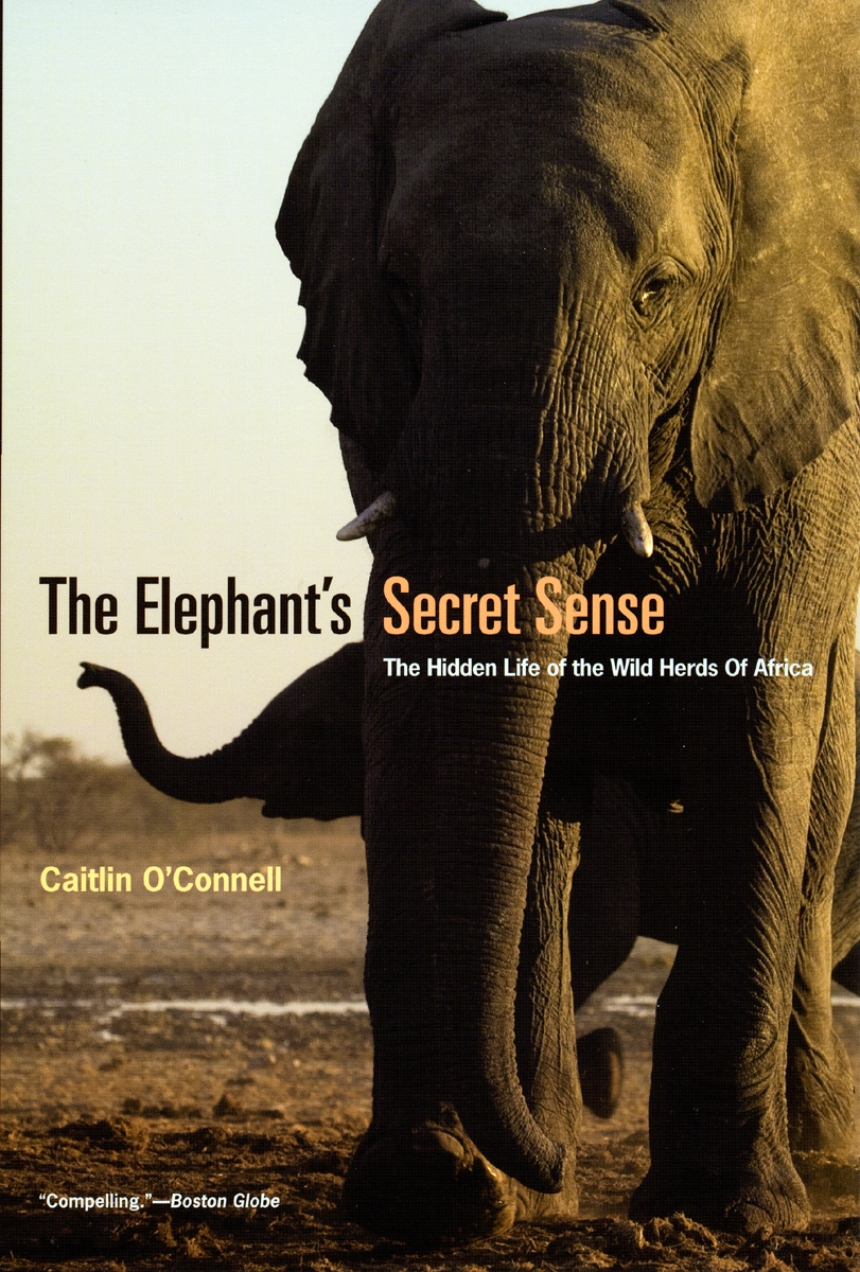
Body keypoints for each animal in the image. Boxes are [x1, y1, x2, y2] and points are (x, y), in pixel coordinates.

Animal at [269, 0, 860, 1242]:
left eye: (658, 290)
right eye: (399, 288)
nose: (551, 1148)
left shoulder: (783, 402)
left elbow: (747, 721)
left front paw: (724, 1213)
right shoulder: (385, 413)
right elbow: (417, 703)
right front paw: (432, 1196)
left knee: (810, 801)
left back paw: (815, 1174)